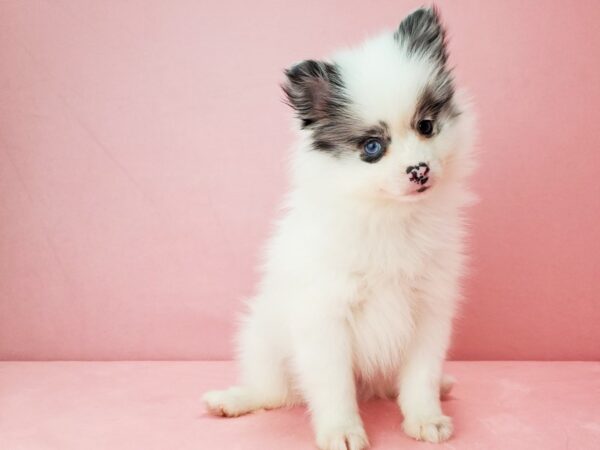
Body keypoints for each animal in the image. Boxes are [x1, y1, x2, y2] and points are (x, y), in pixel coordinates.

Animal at [204, 7, 476, 450]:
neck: (388, 216)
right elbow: (334, 387)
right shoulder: (325, 316)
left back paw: (443, 386)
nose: (419, 170)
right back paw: (231, 400)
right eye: (372, 148)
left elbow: (419, 377)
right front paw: (342, 431)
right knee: (273, 391)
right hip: (263, 339)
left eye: (426, 126)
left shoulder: (428, 311)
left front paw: (426, 418)